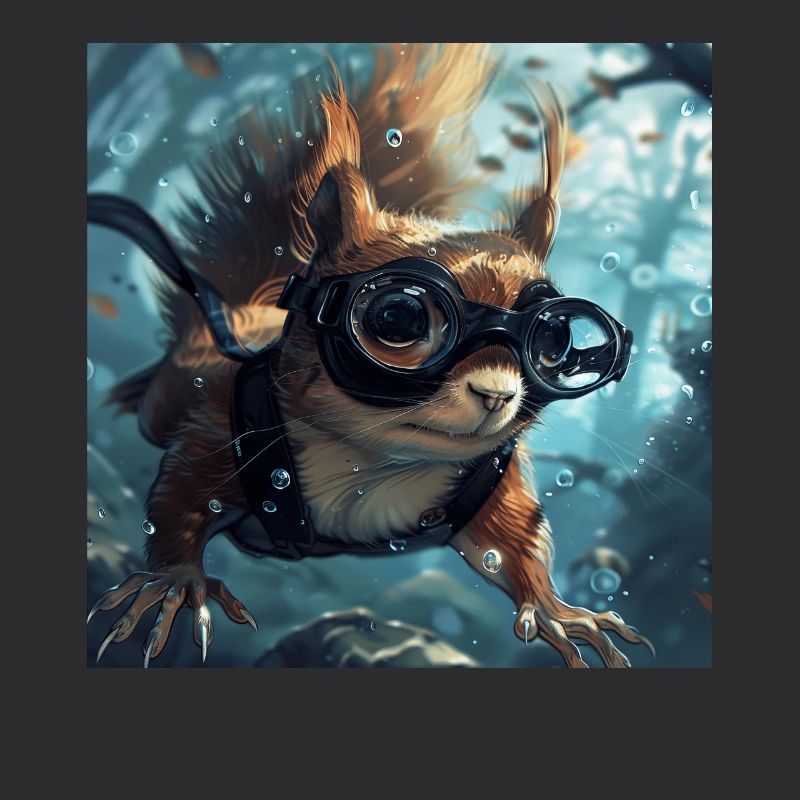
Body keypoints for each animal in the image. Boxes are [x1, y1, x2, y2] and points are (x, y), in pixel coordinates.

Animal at [87, 43, 653, 668]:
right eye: (398, 318)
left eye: (555, 341)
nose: (497, 395)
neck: (380, 463)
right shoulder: (217, 436)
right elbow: (179, 501)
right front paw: (174, 584)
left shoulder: (494, 489)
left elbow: (516, 542)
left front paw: (558, 611)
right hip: (174, 395)